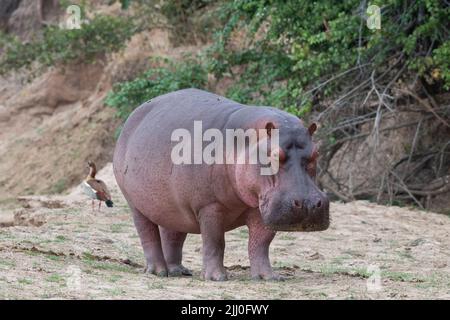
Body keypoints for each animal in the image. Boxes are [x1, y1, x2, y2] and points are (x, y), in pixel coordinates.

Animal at [112, 88, 330, 280]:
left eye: (316, 153)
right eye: (273, 155)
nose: (309, 204)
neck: (244, 140)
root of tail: (133, 116)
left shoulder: (260, 209)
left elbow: (261, 243)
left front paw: (268, 277)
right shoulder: (209, 206)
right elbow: (215, 241)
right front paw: (216, 278)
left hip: (172, 207)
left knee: (172, 234)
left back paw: (178, 271)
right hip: (136, 204)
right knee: (148, 235)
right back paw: (158, 271)